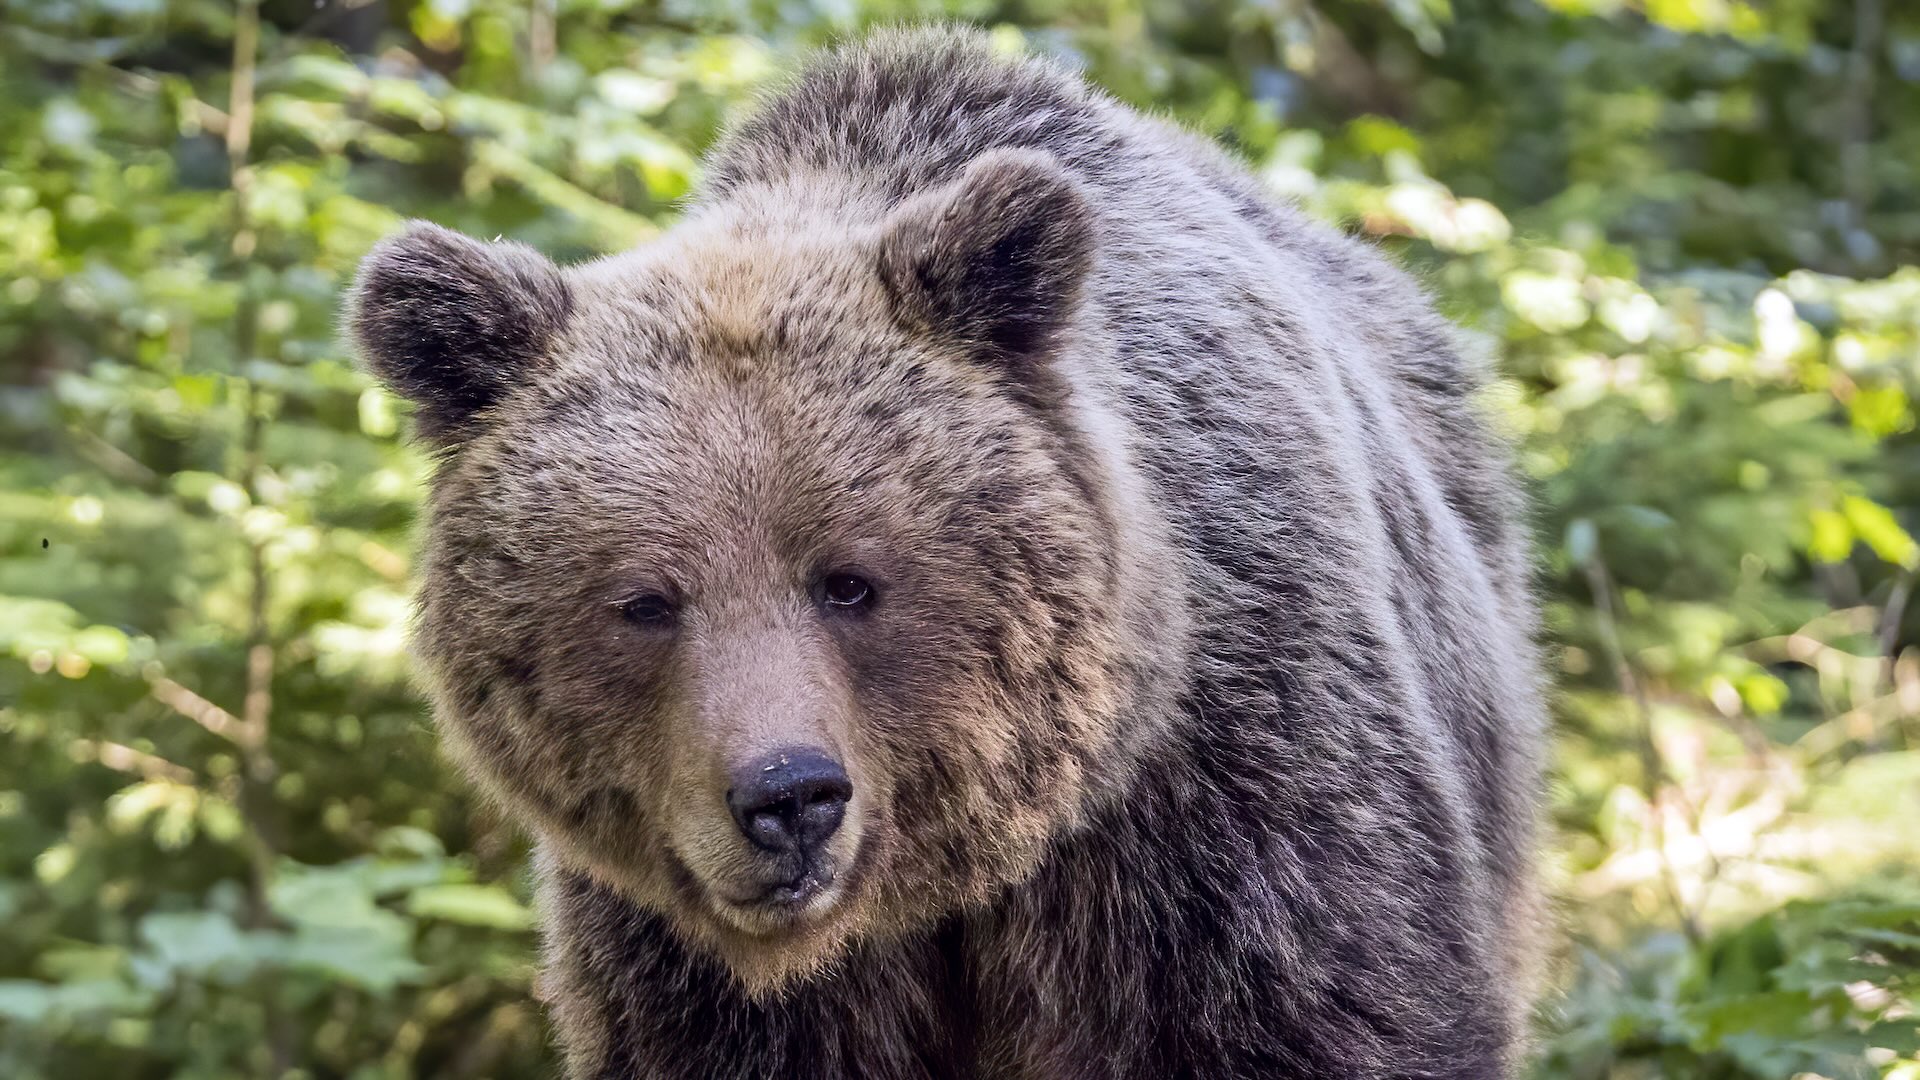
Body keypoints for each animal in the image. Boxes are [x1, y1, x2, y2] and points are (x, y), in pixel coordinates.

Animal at [349, 25, 1543, 1076]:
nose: (788, 797)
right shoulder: (683, 954)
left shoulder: (1228, 801)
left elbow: (1324, 1007)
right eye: (645, 599)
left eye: (849, 581)